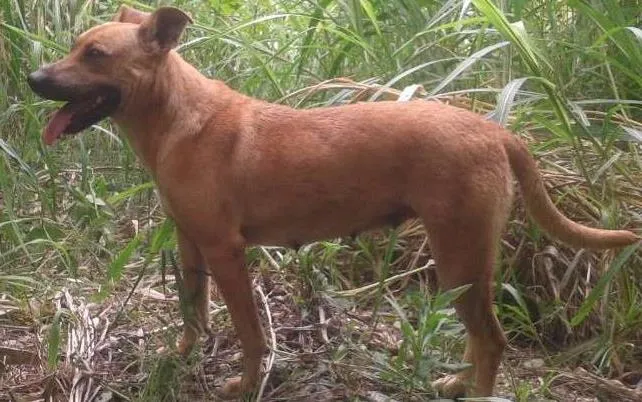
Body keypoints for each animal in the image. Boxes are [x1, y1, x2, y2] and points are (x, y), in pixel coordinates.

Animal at [27, 6, 636, 398]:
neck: (177, 117)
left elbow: (250, 335)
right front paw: (179, 361)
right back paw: (455, 382)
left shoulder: (226, 252)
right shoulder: (190, 245)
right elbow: (192, 315)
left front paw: (245, 385)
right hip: (461, 264)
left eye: (96, 54)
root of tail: (495, 132)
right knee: (477, 339)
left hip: (461, 254)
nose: (32, 78)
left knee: (491, 341)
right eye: (75, 46)